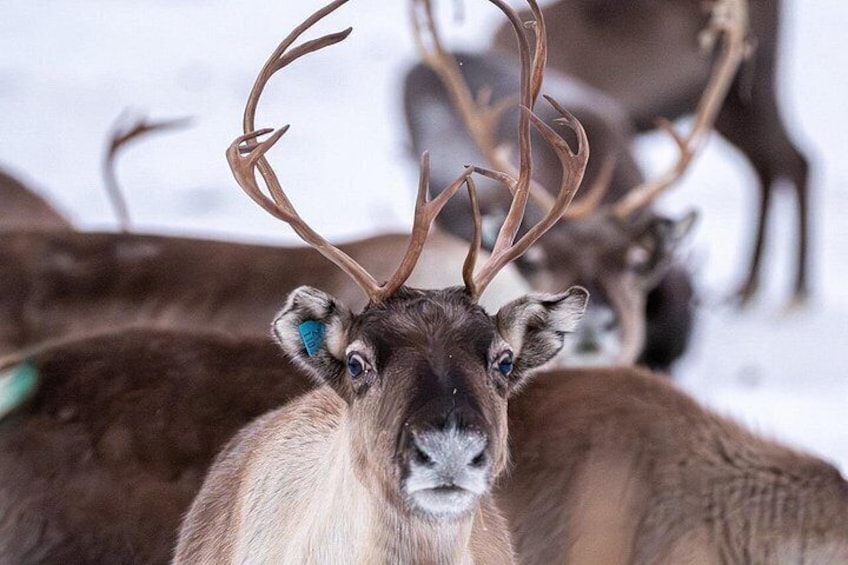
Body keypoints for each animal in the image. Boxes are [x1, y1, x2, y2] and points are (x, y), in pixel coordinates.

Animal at [491, 0, 809, 306]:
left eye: (634, 264)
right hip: (732, 108)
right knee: (771, 165)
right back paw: (749, 288)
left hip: (754, 87)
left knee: (794, 160)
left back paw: (794, 290)